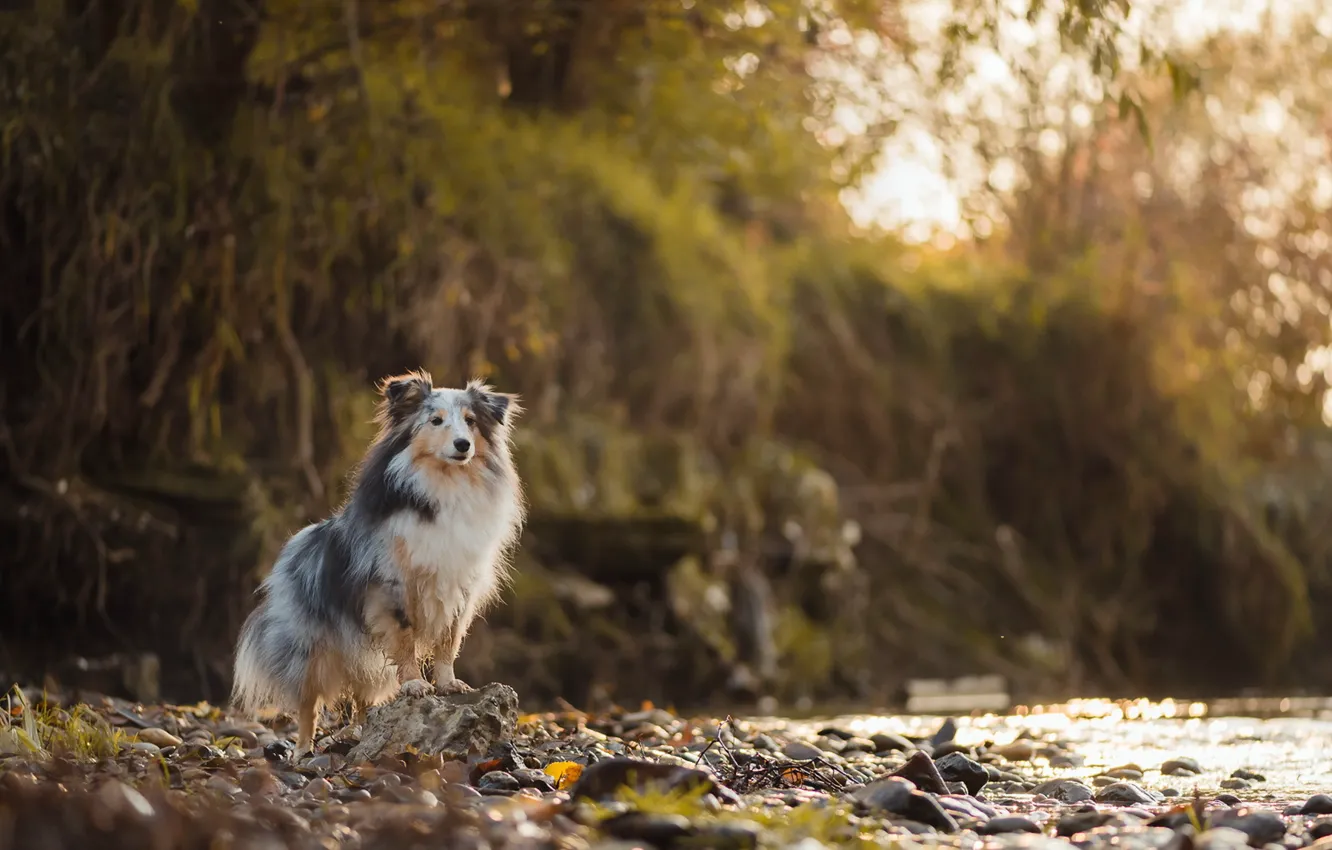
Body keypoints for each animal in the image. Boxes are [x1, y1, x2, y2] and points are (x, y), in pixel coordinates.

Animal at [229, 370, 524, 751]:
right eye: (436, 420)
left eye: (470, 421)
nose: (463, 445)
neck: (445, 485)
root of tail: (292, 549)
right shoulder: (391, 585)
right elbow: (406, 639)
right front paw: (415, 685)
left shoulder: (458, 589)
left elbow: (449, 642)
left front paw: (449, 684)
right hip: (309, 648)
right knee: (308, 702)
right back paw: (303, 750)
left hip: (359, 653)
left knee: (360, 696)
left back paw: (359, 732)